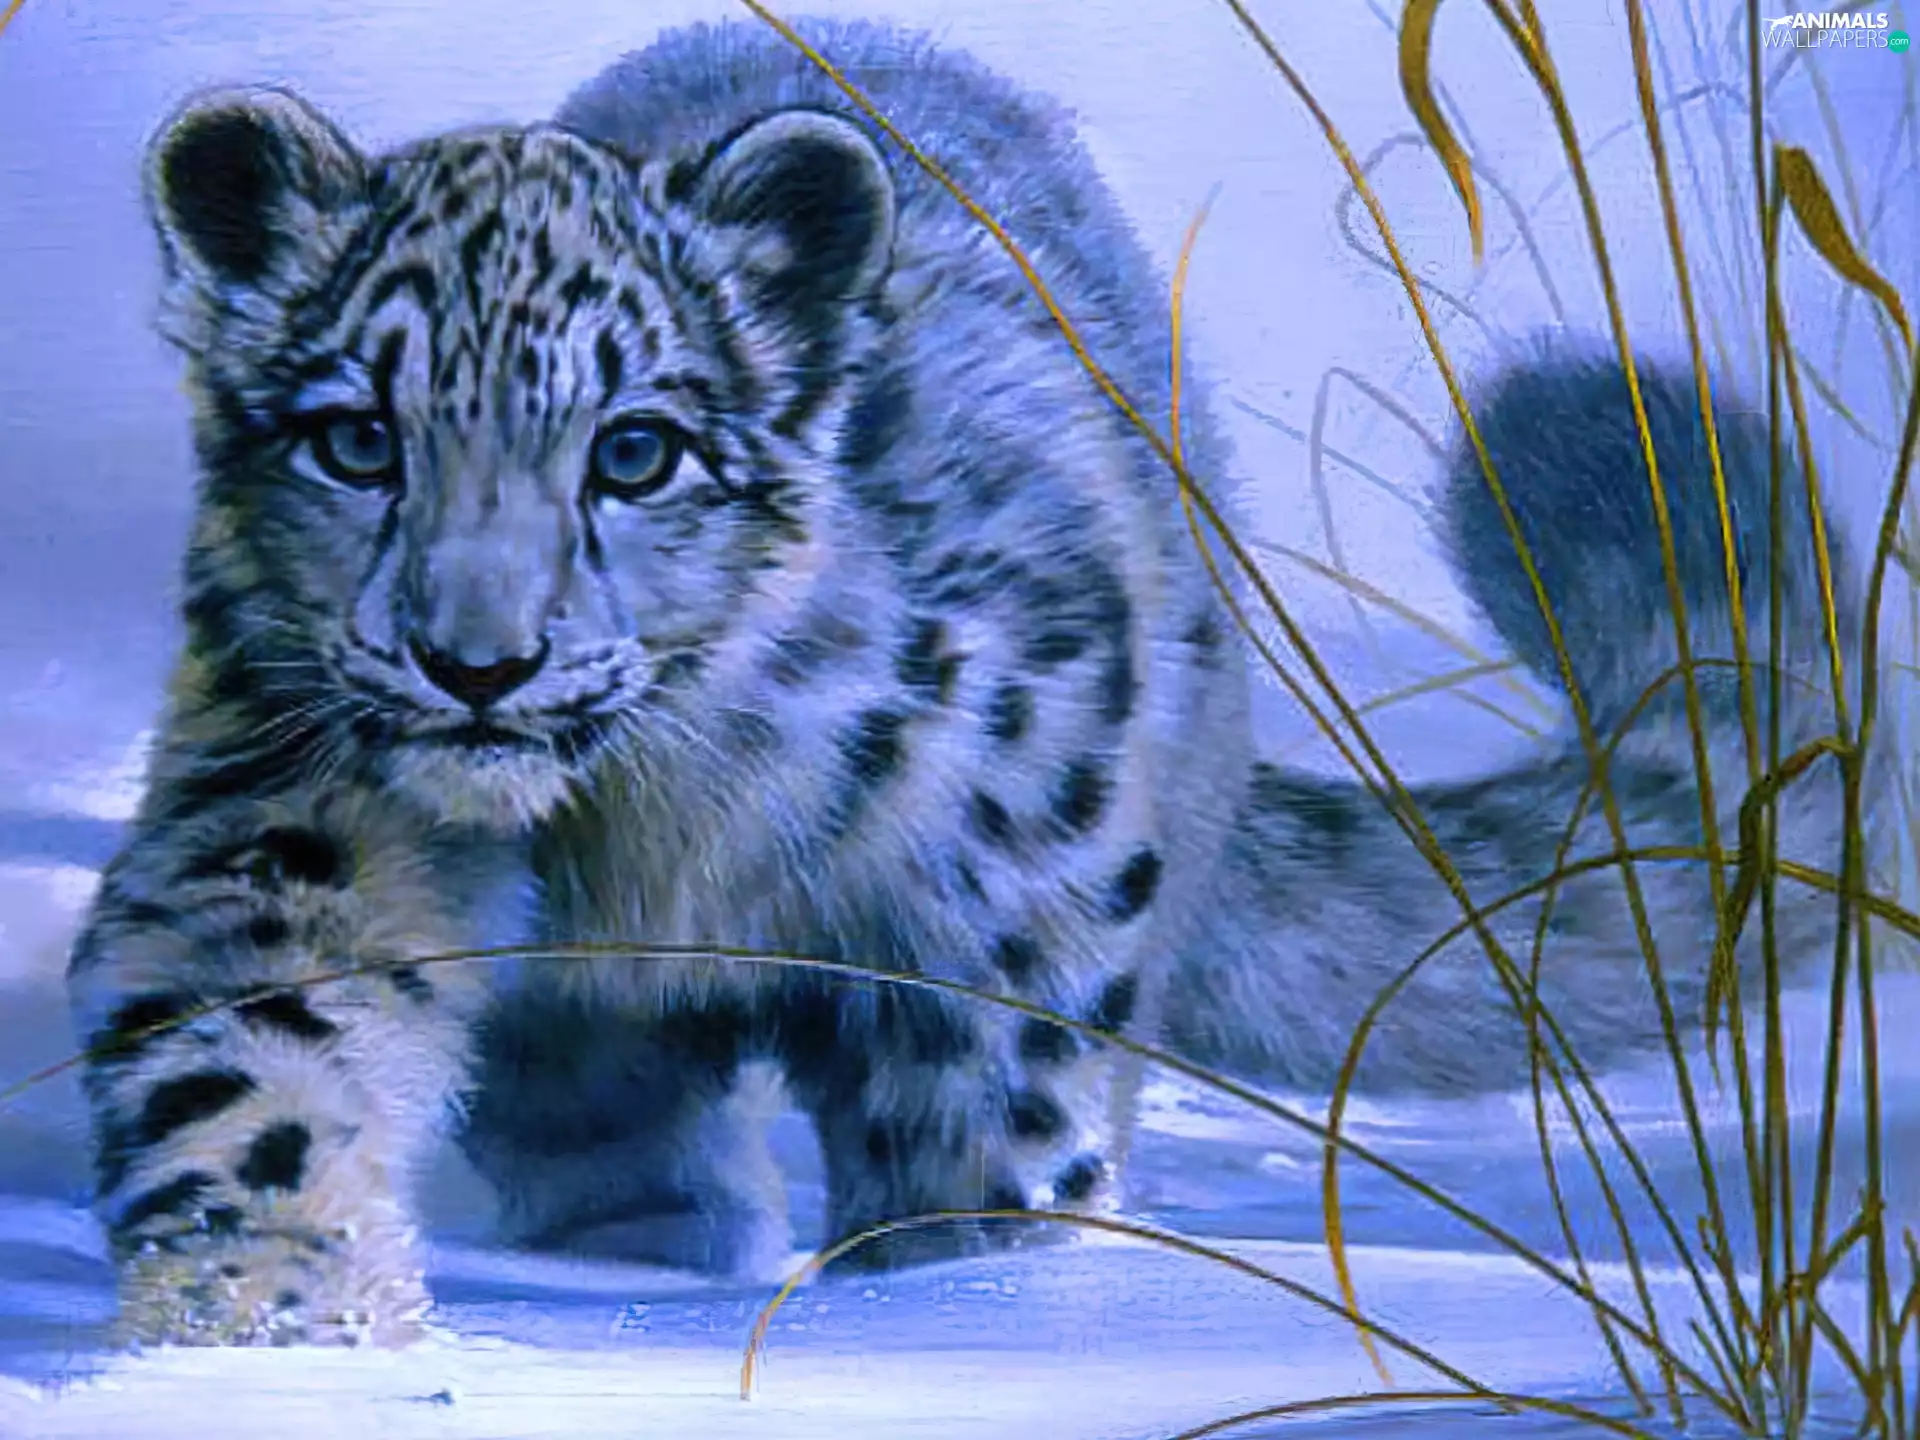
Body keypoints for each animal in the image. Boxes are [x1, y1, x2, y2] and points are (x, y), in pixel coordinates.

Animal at [65, 14, 1876, 1348]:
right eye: (356, 439)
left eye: (636, 451)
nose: (477, 665)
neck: (644, 829)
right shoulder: (285, 816)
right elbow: (255, 1067)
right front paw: (264, 1326)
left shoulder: (997, 916)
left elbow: (985, 1170)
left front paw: (964, 1317)